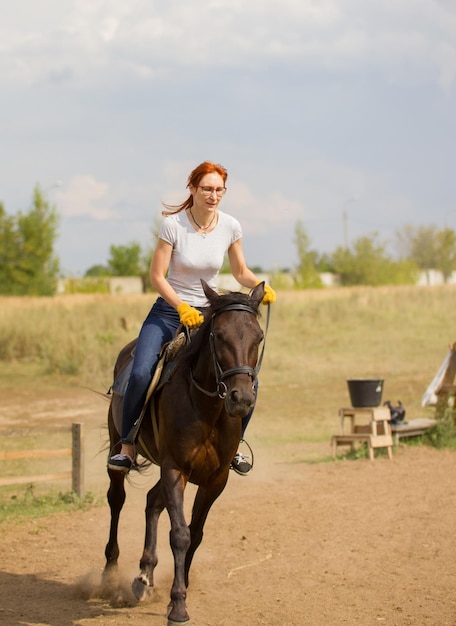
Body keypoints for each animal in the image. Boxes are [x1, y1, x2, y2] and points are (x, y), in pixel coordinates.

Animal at [104, 280, 264, 620]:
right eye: (219, 335)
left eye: (258, 337)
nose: (241, 399)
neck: (207, 406)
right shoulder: (175, 469)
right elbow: (179, 533)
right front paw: (177, 605)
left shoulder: (215, 479)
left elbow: (196, 533)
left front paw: (180, 589)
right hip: (118, 449)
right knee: (117, 499)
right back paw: (109, 573)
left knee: (152, 501)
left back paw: (144, 575)